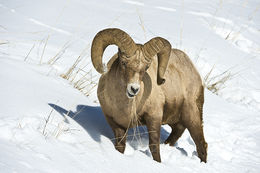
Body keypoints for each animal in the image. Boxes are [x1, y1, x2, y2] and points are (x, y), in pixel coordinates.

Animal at [91, 28, 207, 162]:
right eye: (123, 63)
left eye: (146, 68)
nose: (134, 89)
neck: (122, 105)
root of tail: (195, 71)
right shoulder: (116, 124)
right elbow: (120, 146)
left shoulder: (154, 117)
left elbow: (154, 147)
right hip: (178, 121)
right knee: (176, 134)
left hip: (192, 117)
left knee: (201, 144)